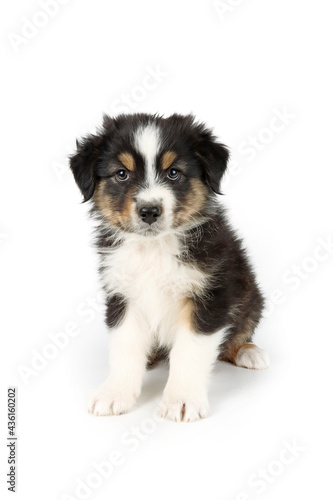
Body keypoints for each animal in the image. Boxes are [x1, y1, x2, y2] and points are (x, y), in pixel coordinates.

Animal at [69, 113, 268, 422]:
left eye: (173, 173)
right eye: (122, 174)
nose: (149, 211)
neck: (154, 248)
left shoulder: (209, 294)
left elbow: (190, 351)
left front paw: (182, 400)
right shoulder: (122, 294)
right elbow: (124, 347)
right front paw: (115, 393)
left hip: (251, 295)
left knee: (239, 333)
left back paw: (249, 352)